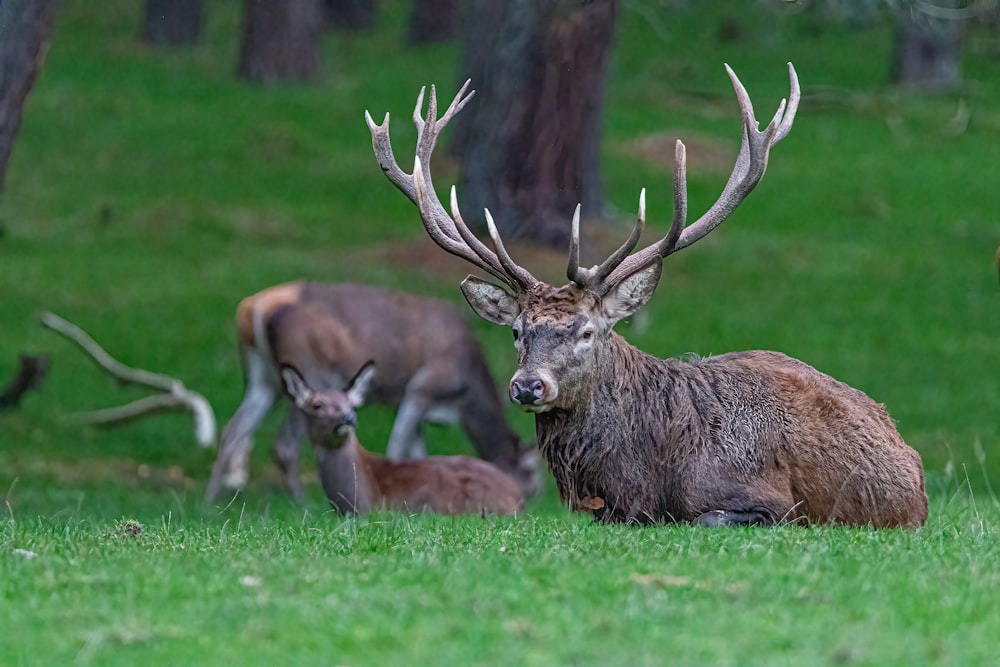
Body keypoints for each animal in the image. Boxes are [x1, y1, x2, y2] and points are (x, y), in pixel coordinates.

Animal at [366, 68, 928, 528]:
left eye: (587, 331)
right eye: (517, 331)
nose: (528, 386)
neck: (640, 482)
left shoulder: (773, 500)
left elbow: (707, 518)